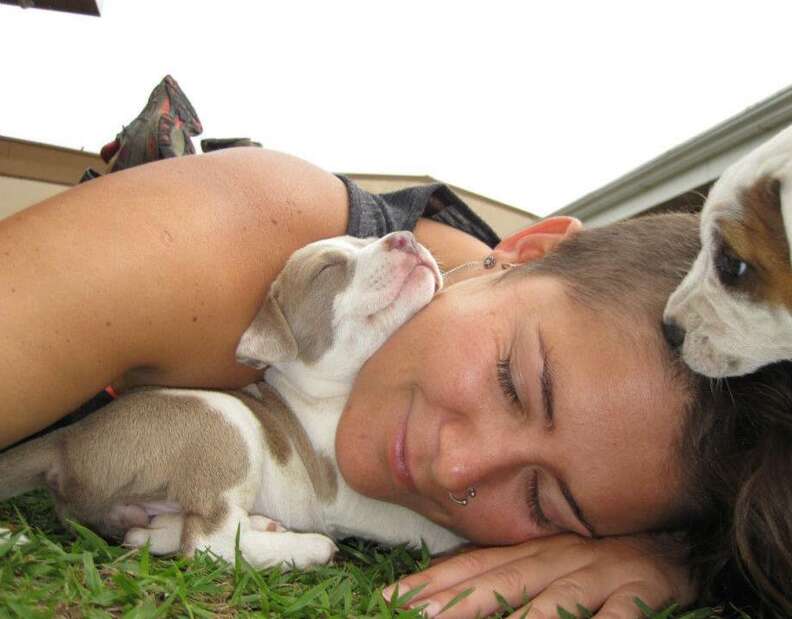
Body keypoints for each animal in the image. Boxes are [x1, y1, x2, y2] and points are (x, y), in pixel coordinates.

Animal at [0, 231, 464, 568]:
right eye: (328, 268)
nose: (405, 236)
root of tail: (66, 439)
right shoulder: (347, 494)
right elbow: (422, 523)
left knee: (157, 532)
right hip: (227, 422)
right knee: (208, 541)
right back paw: (307, 548)